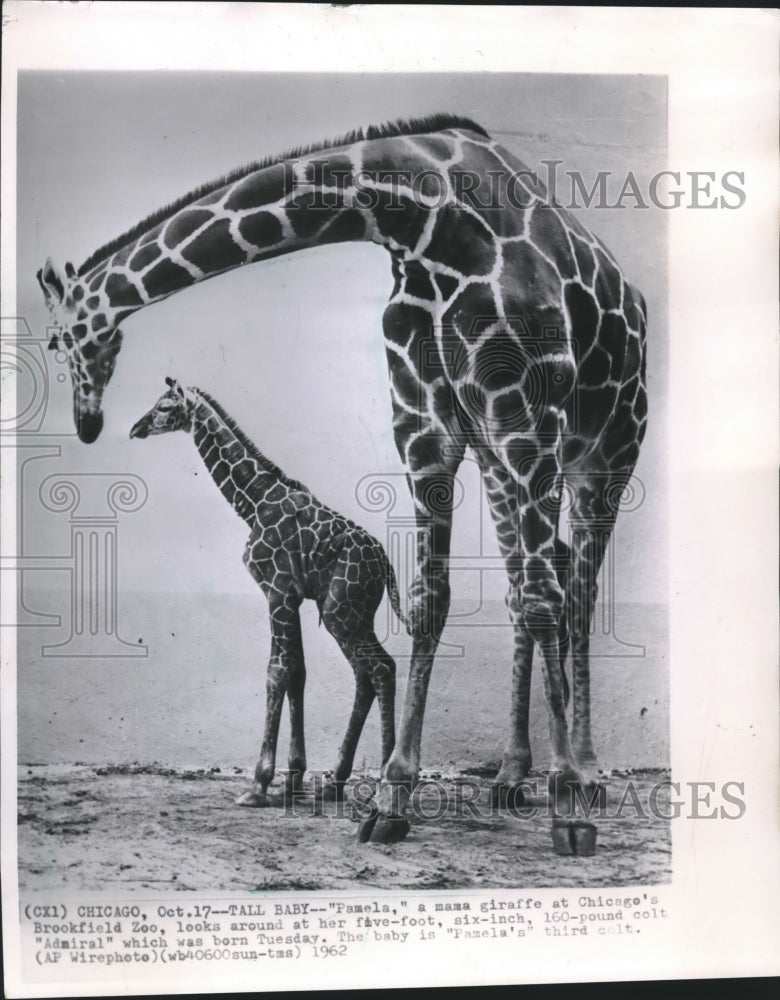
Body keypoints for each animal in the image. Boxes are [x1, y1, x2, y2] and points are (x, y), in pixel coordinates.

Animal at [129, 377, 405, 807]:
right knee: (365, 674)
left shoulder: (275, 591)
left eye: (163, 407)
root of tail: (385, 567)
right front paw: (293, 778)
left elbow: (277, 672)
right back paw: (335, 781)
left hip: (343, 612)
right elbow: (298, 672)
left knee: (381, 669)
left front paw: (258, 785)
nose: (135, 428)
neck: (253, 502)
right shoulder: (290, 597)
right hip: (351, 613)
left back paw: (385, 783)